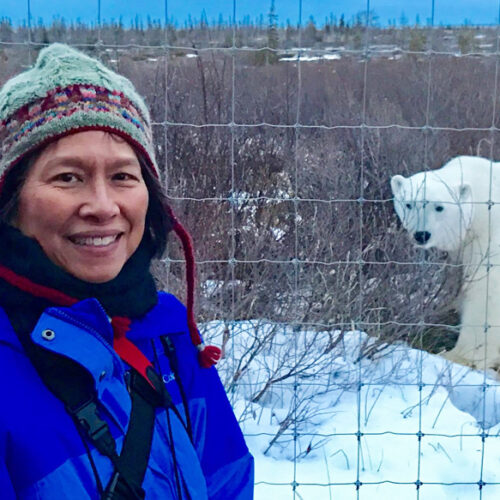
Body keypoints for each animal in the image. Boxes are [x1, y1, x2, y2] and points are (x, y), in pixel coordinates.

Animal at [392, 156, 500, 372]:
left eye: (439, 207)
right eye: (409, 204)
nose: (421, 234)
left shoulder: (488, 236)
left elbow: (486, 291)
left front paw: (458, 355)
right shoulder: (458, 252)